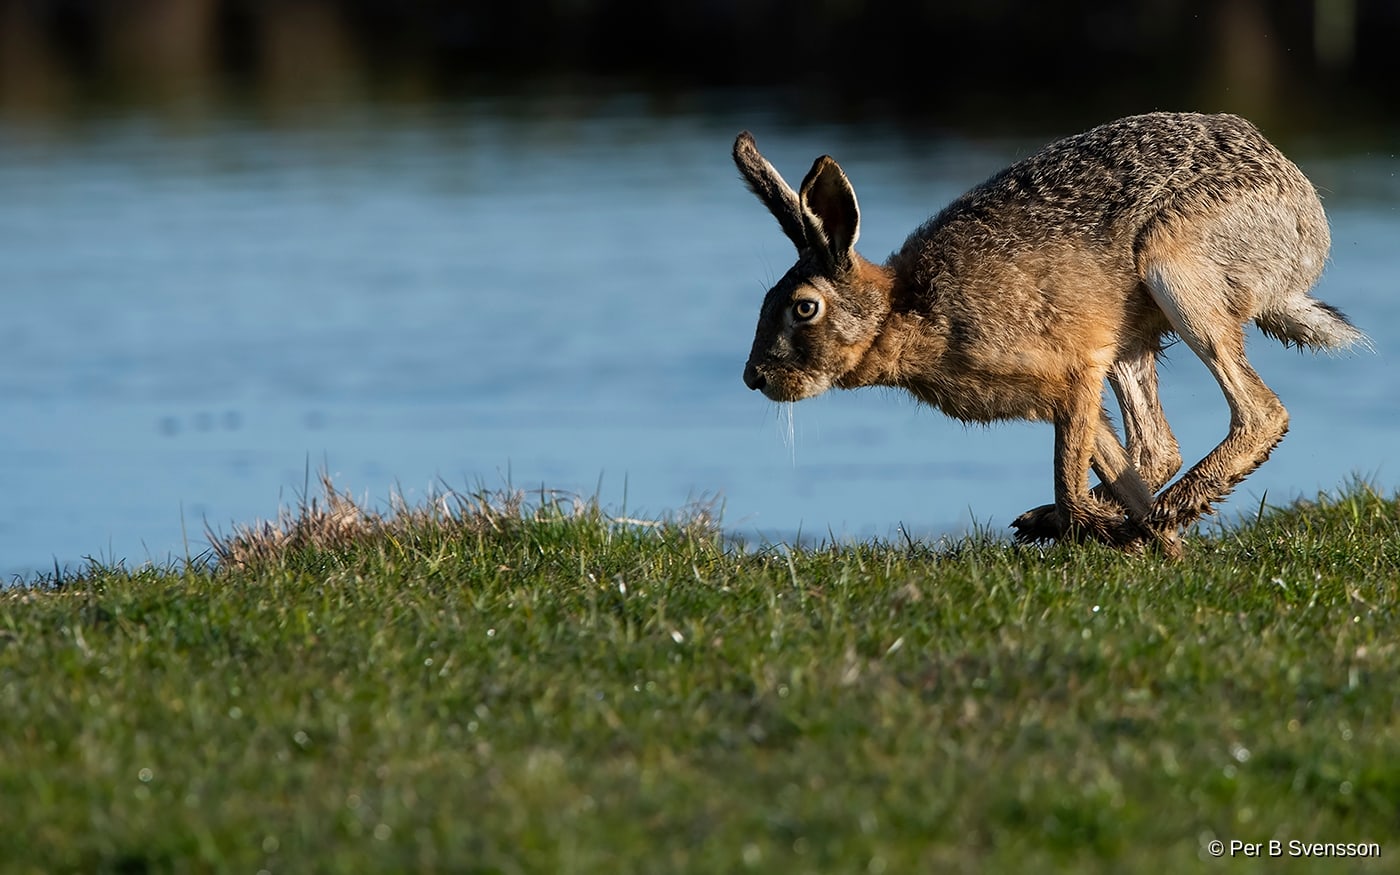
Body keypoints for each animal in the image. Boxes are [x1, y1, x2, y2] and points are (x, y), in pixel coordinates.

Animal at [734, 112, 1367, 555]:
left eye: (804, 309)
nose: (754, 378)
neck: (901, 311)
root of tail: (1304, 218)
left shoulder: (1074, 371)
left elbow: (1069, 471)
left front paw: (1113, 532)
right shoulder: (1077, 383)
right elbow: (1109, 458)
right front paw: (1152, 547)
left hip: (1178, 273)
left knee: (1259, 413)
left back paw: (1156, 515)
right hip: (1133, 339)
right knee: (1157, 446)